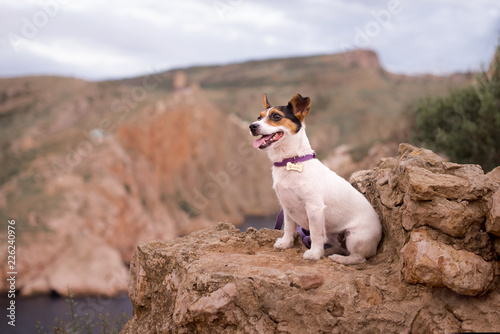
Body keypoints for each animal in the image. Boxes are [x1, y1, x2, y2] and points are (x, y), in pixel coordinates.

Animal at [248, 93, 380, 264]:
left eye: (276, 116)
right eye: (259, 117)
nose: (252, 126)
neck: (290, 162)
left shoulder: (314, 208)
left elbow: (315, 234)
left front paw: (314, 254)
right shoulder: (287, 207)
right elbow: (289, 228)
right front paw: (286, 243)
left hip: (355, 236)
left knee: (358, 257)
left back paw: (339, 258)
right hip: (332, 233)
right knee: (336, 245)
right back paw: (330, 251)